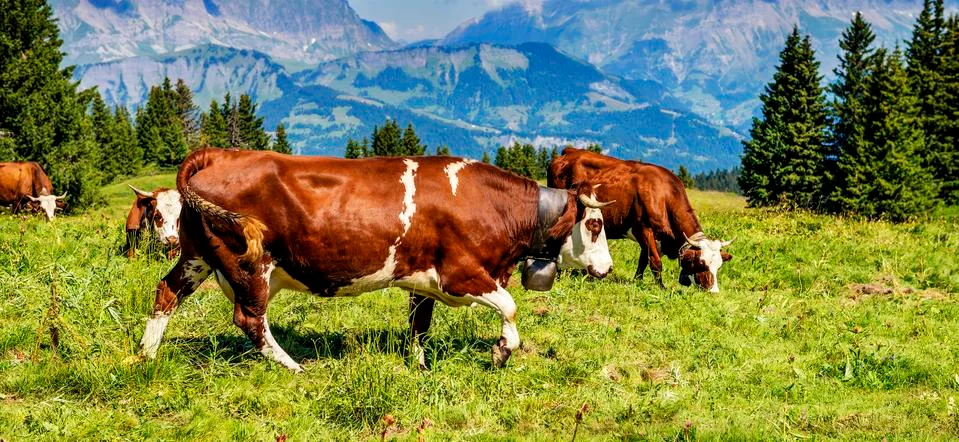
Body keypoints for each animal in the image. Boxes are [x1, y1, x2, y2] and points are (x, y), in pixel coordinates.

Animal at [139, 148, 614, 371]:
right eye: (593, 225)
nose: (607, 268)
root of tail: (219, 154)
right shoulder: (460, 275)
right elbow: (511, 307)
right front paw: (500, 351)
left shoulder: (424, 281)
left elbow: (419, 326)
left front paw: (419, 366)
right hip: (249, 264)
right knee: (250, 319)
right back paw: (293, 366)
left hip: (197, 256)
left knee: (166, 292)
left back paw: (146, 356)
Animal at [548, 147, 733, 292]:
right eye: (702, 264)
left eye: (718, 266)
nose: (714, 292)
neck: (663, 195)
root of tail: (569, 151)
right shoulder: (643, 229)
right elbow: (656, 262)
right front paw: (661, 288)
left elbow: (643, 260)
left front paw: (637, 281)